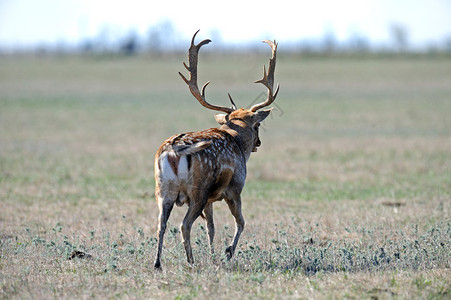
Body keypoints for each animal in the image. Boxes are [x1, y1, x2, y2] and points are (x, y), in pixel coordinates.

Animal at [154, 30, 278, 270]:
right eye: (257, 124)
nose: (258, 143)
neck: (237, 142)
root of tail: (174, 148)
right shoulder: (235, 188)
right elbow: (240, 222)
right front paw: (228, 252)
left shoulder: (211, 200)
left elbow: (211, 227)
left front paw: (213, 255)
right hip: (197, 191)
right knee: (184, 225)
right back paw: (191, 261)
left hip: (163, 190)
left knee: (160, 224)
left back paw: (157, 263)